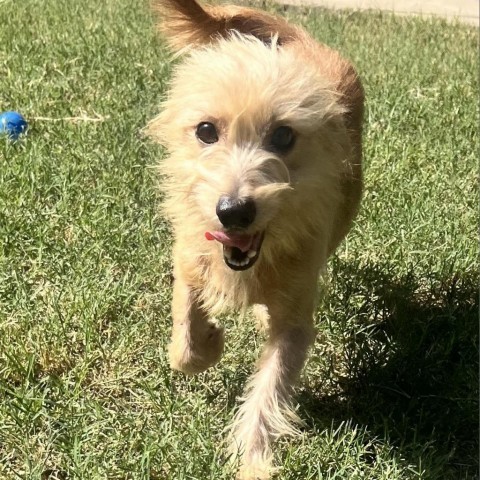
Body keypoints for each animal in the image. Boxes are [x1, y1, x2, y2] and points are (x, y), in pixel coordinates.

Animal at [147, 1, 364, 478]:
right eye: (206, 130)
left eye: (283, 135)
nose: (234, 211)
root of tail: (303, 43)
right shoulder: (188, 258)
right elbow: (183, 343)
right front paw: (210, 341)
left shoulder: (296, 322)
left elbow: (269, 390)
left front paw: (254, 460)